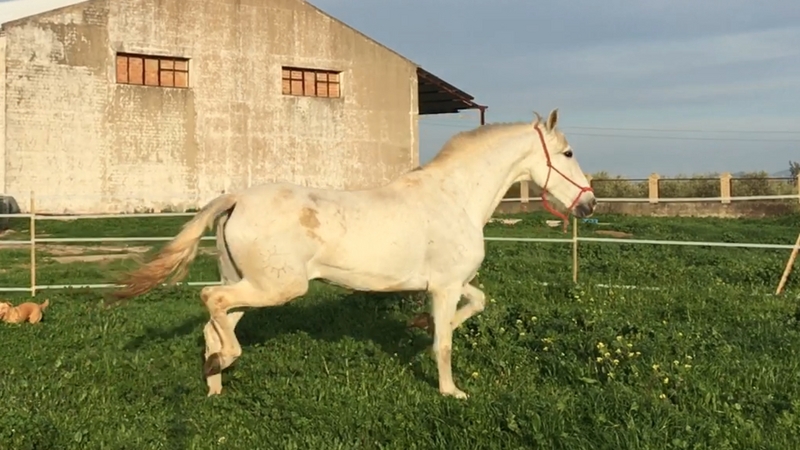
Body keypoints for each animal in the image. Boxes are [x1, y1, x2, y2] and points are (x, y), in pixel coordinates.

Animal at [110, 108, 597, 399]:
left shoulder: (449, 284)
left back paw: (214, 383)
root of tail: (235, 199)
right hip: (278, 287)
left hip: (249, 285)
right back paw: (227, 360)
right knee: (210, 301)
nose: (589, 204)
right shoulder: (444, 285)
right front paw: (451, 392)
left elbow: (476, 303)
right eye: (569, 152)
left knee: (214, 324)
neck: (455, 197)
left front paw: (418, 326)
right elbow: (444, 343)